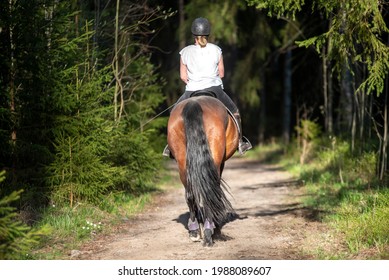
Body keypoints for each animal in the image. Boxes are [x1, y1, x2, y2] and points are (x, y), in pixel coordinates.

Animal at [167, 95, 239, 246]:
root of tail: (193, 104)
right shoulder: (220, 163)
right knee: (209, 192)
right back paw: (209, 231)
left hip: (182, 160)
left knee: (190, 194)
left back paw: (195, 231)